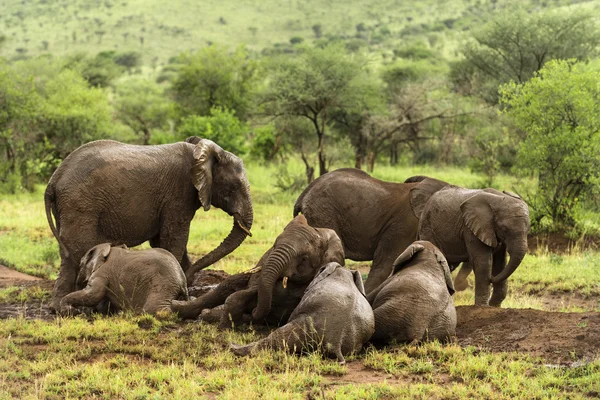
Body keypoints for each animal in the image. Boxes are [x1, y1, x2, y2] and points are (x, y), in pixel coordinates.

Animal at [60, 244, 188, 316]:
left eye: (80, 265)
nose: (78, 311)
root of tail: (182, 280)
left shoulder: (102, 273)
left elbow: (94, 295)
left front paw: (69, 310)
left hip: (162, 284)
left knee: (154, 309)